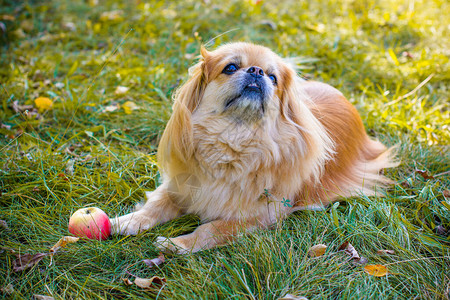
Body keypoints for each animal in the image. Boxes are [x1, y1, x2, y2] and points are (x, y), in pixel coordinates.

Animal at [110, 41, 396, 253]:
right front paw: (127, 221)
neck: (234, 141)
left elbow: (212, 228)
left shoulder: (262, 214)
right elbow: (154, 206)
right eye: (230, 67)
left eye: (273, 77)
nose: (257, 71)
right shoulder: (180, 186)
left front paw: (178, 243)